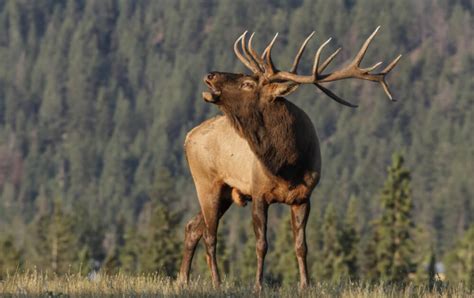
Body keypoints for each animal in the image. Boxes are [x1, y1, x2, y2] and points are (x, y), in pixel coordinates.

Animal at [178, 27, 400, 288]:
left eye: (247, 82)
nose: (210, 74)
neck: (287, 165)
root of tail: (187, 137)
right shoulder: (259, 193)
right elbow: (261, 245)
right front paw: (258, 285)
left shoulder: (304, 197)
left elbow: (301, 246)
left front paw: (305, 284)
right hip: (206, 183)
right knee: (210, 235)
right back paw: (216, 282)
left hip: (224, 193)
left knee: (193, 227)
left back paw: (183, 280)